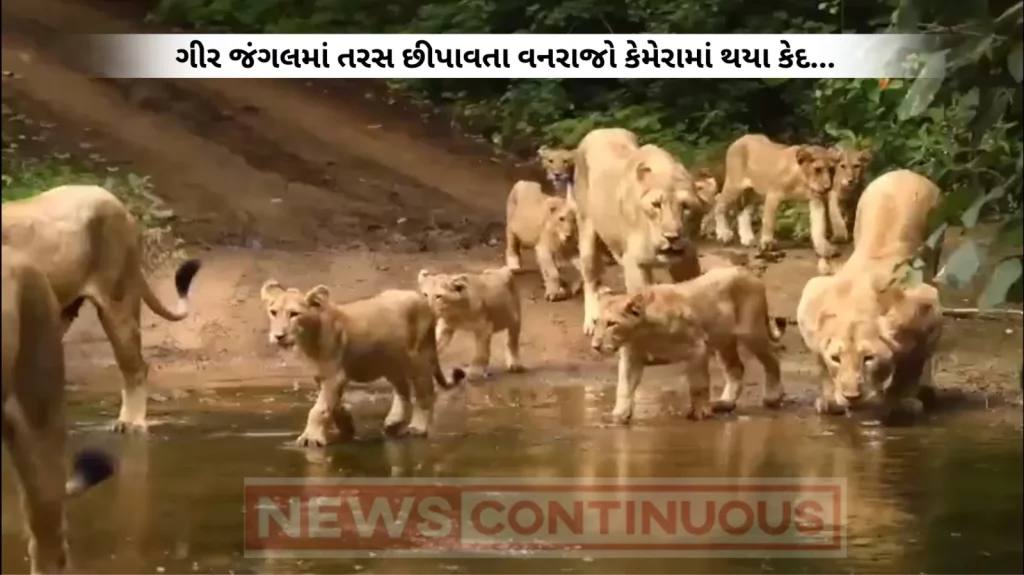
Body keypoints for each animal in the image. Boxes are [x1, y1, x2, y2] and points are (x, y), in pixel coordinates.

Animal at [260, 281, 465, 446]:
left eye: (294, 314)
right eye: (273, 312)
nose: (278, 336)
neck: (308, 339)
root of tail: (422, 300)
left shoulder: (334, 376)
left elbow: (319, 409)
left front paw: (311, 438)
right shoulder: (321, 376)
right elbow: (333, 405)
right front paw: (347, 426)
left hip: (419, 357)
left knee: (425, 394)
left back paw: (417, 428)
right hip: (391, 362)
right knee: (403, 391)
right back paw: (393, 423)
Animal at [572, 127, 705, 338]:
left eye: (686, 207)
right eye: (656, 205)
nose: (671, 237)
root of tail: (600, 130)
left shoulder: (687, 261)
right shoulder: (636, 264)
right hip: (586, 230)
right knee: (590, 278)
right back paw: (591, 321)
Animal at [590, 266, 787, 425]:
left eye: (611, 324)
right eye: (595, 321)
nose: (595, 345)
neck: (642, 335)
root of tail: (747, 272)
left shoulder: (698, 348)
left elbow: (698, 385)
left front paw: (700, 412)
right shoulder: (632, 358)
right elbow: (623, 387)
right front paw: (618, 415)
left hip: (751, 333)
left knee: (772, 359)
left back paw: (772, 397)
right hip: (725, 342)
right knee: (736, 369)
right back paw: (725, 403)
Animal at [713, 134, 839, 275]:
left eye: (832, 169)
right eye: (817, 169)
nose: (827, 187)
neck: (803, 180)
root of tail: (740, 138)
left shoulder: (816, 199)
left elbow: (819, 225)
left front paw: (823, 247)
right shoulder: (773, 194)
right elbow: (769, 221)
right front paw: (766, 244)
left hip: (756, 193)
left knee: (744, 213)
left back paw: (747, 238)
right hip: (735, 185)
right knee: (719, 203)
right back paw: (723, 234)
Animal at [796, 169, 943, 422]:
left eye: (869, 358)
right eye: (836, 358)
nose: (851, 396)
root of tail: (904, 172)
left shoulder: (929, 304)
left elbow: (913, 363)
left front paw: (903, 401)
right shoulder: (811, 297)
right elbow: (820, 360)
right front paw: (829, 399)